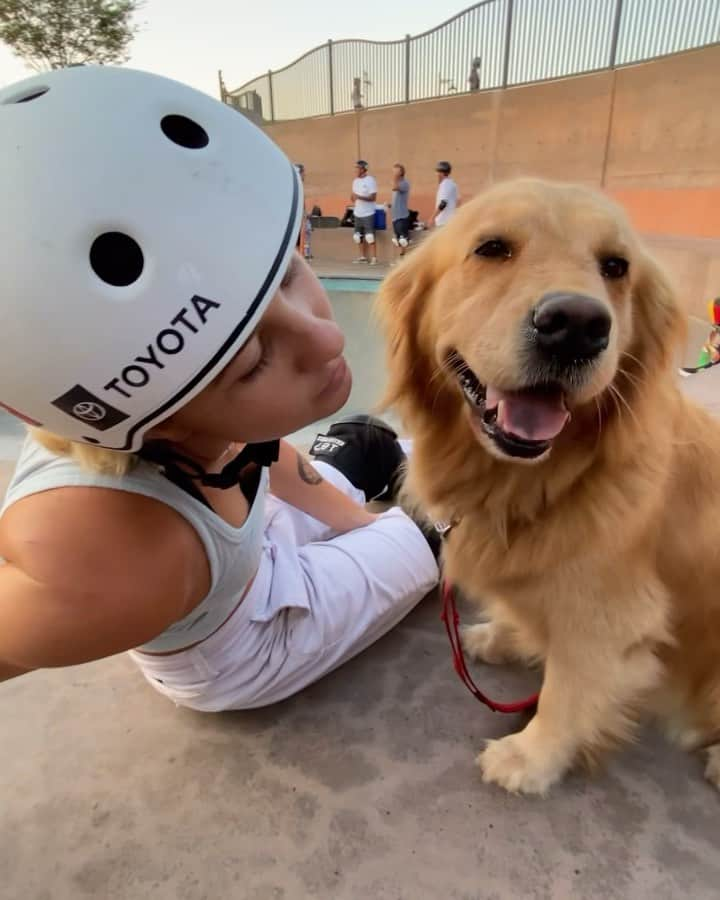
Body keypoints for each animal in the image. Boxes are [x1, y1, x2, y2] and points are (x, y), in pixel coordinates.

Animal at [374, 178, 720, 796]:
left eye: (615, 266)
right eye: (492, 248)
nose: (577, 326)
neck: (540, 482)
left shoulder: (611, 617)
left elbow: (566, 691)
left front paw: (528, 757)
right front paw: (506, 637)